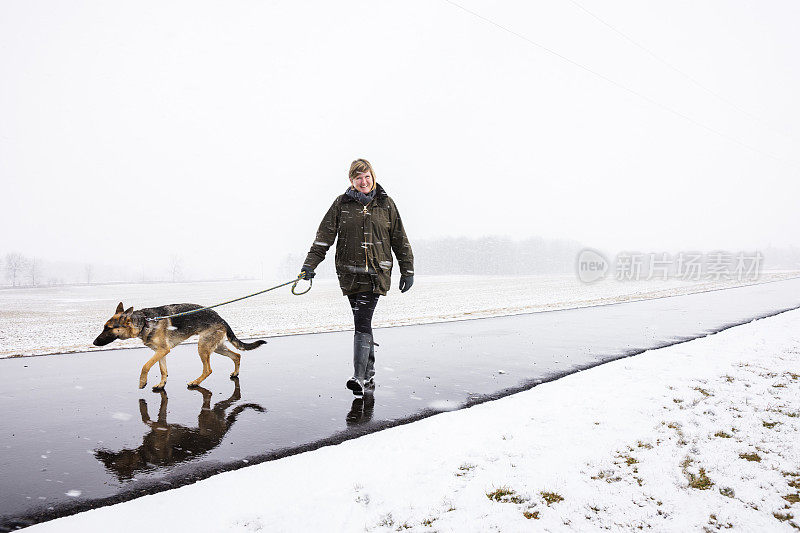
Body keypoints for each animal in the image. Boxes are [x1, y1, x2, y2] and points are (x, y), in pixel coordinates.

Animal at [90, 302, 266, 388]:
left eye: (108, 328)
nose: (94, 342)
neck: (144, 322)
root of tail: (221, 319)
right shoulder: (160, 352)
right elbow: (163, 370)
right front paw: (162, 384)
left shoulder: (162, 350)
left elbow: (145, 366)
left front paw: (142, 382)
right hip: (216, 347)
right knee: (237, 355)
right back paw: (235, 373)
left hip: (203, 347)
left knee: (208, 369)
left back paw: (195, 382)